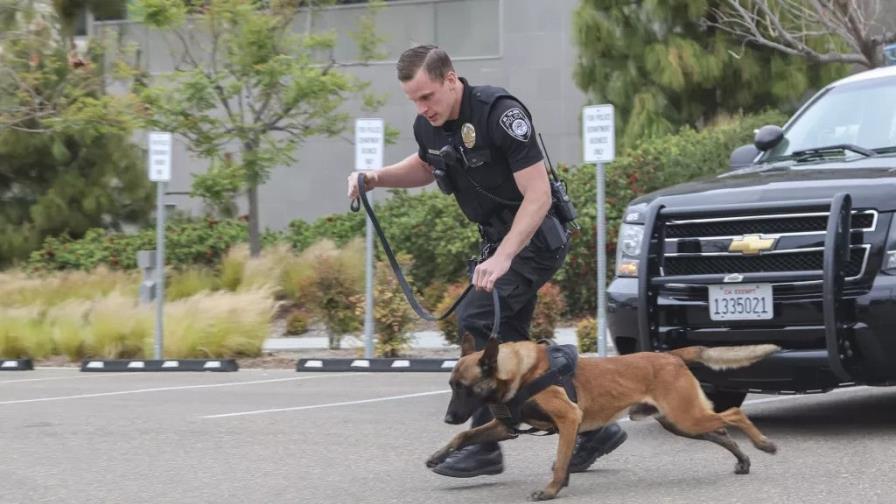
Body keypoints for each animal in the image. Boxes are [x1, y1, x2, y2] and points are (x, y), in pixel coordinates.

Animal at [428, 334, 776, 500]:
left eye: (466, 388)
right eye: (451, 386)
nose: (447, 418)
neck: (521, 372)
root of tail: (670, 356)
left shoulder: (569, 419)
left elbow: (561, 460)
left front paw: (551, 490)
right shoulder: (504, 427)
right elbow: (463, 435)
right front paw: (438, 456)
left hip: (686, 417)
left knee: (734, 414)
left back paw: (764, 444)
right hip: (681, 423)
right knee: (722, 432)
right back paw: (744, 459)